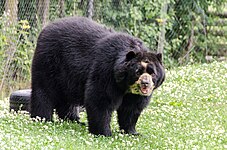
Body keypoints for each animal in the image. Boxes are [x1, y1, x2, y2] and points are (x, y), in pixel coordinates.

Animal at [30, 16, 165, 136]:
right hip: (50, 61)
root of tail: (46, 28)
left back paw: (74, 119)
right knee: (44, 89)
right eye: (138, 71)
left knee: (66, 97)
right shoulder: (106, 71)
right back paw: (42, 118)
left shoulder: (133, 94)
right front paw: (104, 132)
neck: (125, 85)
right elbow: (100, 99)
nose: (145, 83)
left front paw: (133, 132)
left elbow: (132, 107)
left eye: (152, 72)